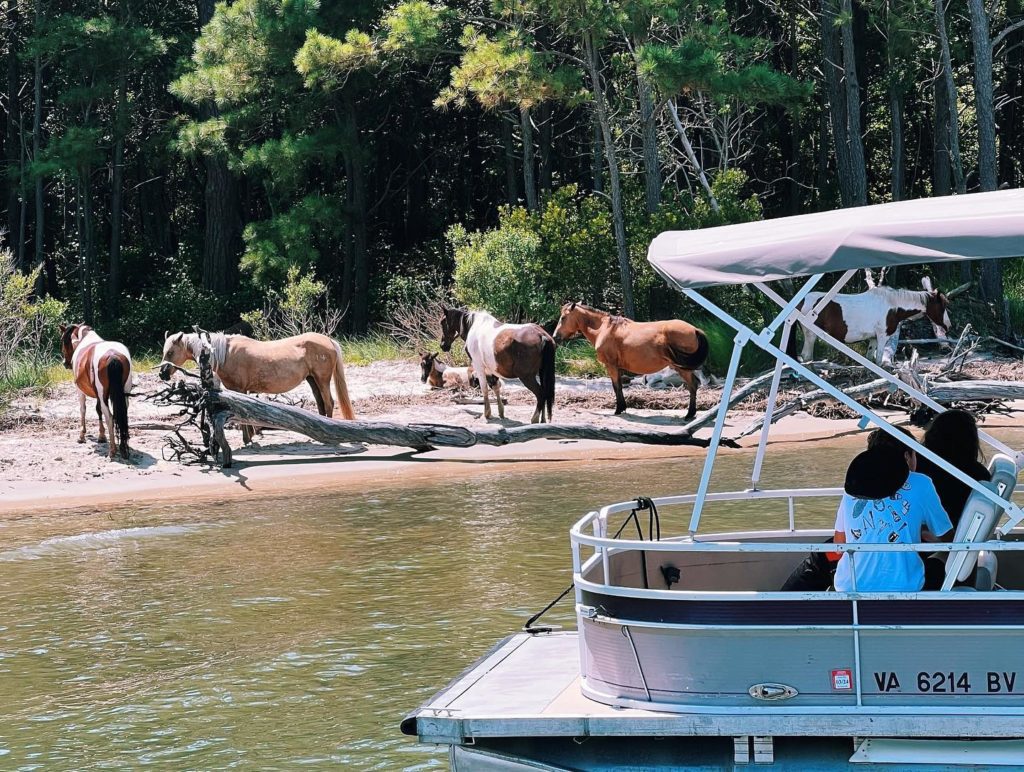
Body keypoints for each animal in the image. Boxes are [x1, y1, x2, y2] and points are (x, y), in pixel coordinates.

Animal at [59, 319, 133, 456]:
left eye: (63, 340)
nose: (66, 363)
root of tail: (113, 356)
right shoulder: (98, 394)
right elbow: (98, 410)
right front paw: (101, 435)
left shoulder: (80, 390)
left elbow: (83, 409)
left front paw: (82, 435)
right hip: (123, 394)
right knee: (121, 416)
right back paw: (123, 448)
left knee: (109, 416)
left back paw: (112, 450)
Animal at [157, 329, 354, 430]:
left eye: (171, 352)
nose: (162, 374)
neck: (225, 353)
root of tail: (328, 341)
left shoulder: (239, 389)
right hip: (312, 380)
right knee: (321, 403)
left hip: (322, 379)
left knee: (328, 402)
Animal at [552, 303, 712, 421]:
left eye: (563, 318)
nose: (555, 337)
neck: (605, 328)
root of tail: (695, 329)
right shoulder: (618, 368)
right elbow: (620, 386)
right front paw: (622, 407)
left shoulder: (611, 366)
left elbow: (616, 387)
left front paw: (618, 409)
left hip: (683, 368)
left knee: (693, 386)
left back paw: (689, 414)